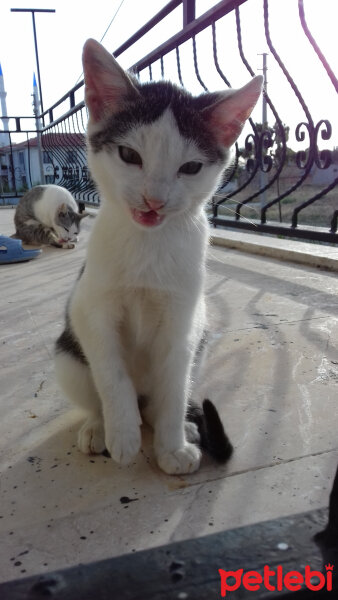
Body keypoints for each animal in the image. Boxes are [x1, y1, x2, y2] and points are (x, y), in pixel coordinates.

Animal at [54, 39, 262, 476]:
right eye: (129, 155)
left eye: (191, 167)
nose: (154, 200)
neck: (149, 244)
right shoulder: (89, 308)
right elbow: (111, 374)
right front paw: (122, 434)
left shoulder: (184, 321)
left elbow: (173, 386)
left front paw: (171, 447)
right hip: (66, 357)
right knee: (94, 389)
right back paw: (100, 426)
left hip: (201, 339)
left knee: (162, 397)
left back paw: (182, 424)